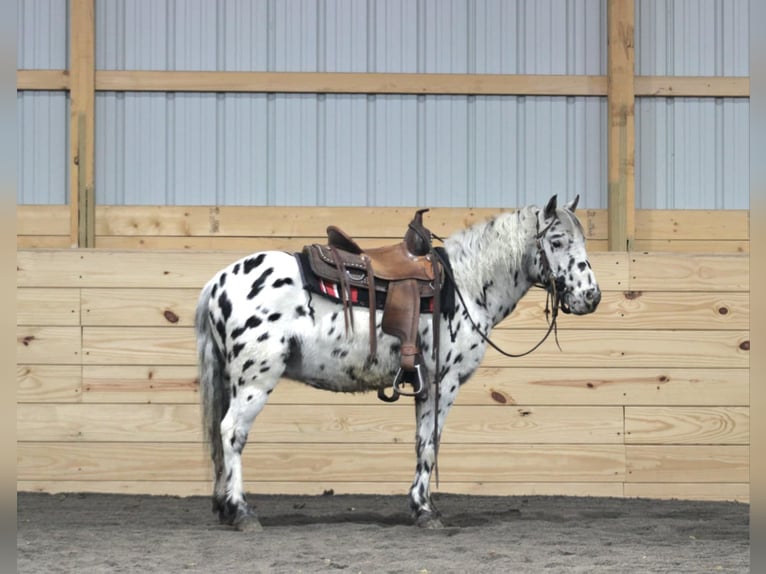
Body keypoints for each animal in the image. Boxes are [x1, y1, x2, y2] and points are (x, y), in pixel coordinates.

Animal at [196, 196, 600, 532]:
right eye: (557, 241)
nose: (591, 297)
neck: (466, 286)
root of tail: (217, 283)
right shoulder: (442, 382)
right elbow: (430, 443)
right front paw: (425, 511)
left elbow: (421, 441)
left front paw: (420, 506)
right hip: (255, 380)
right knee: (231, 431)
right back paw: (242, 513)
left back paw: (225, 509)